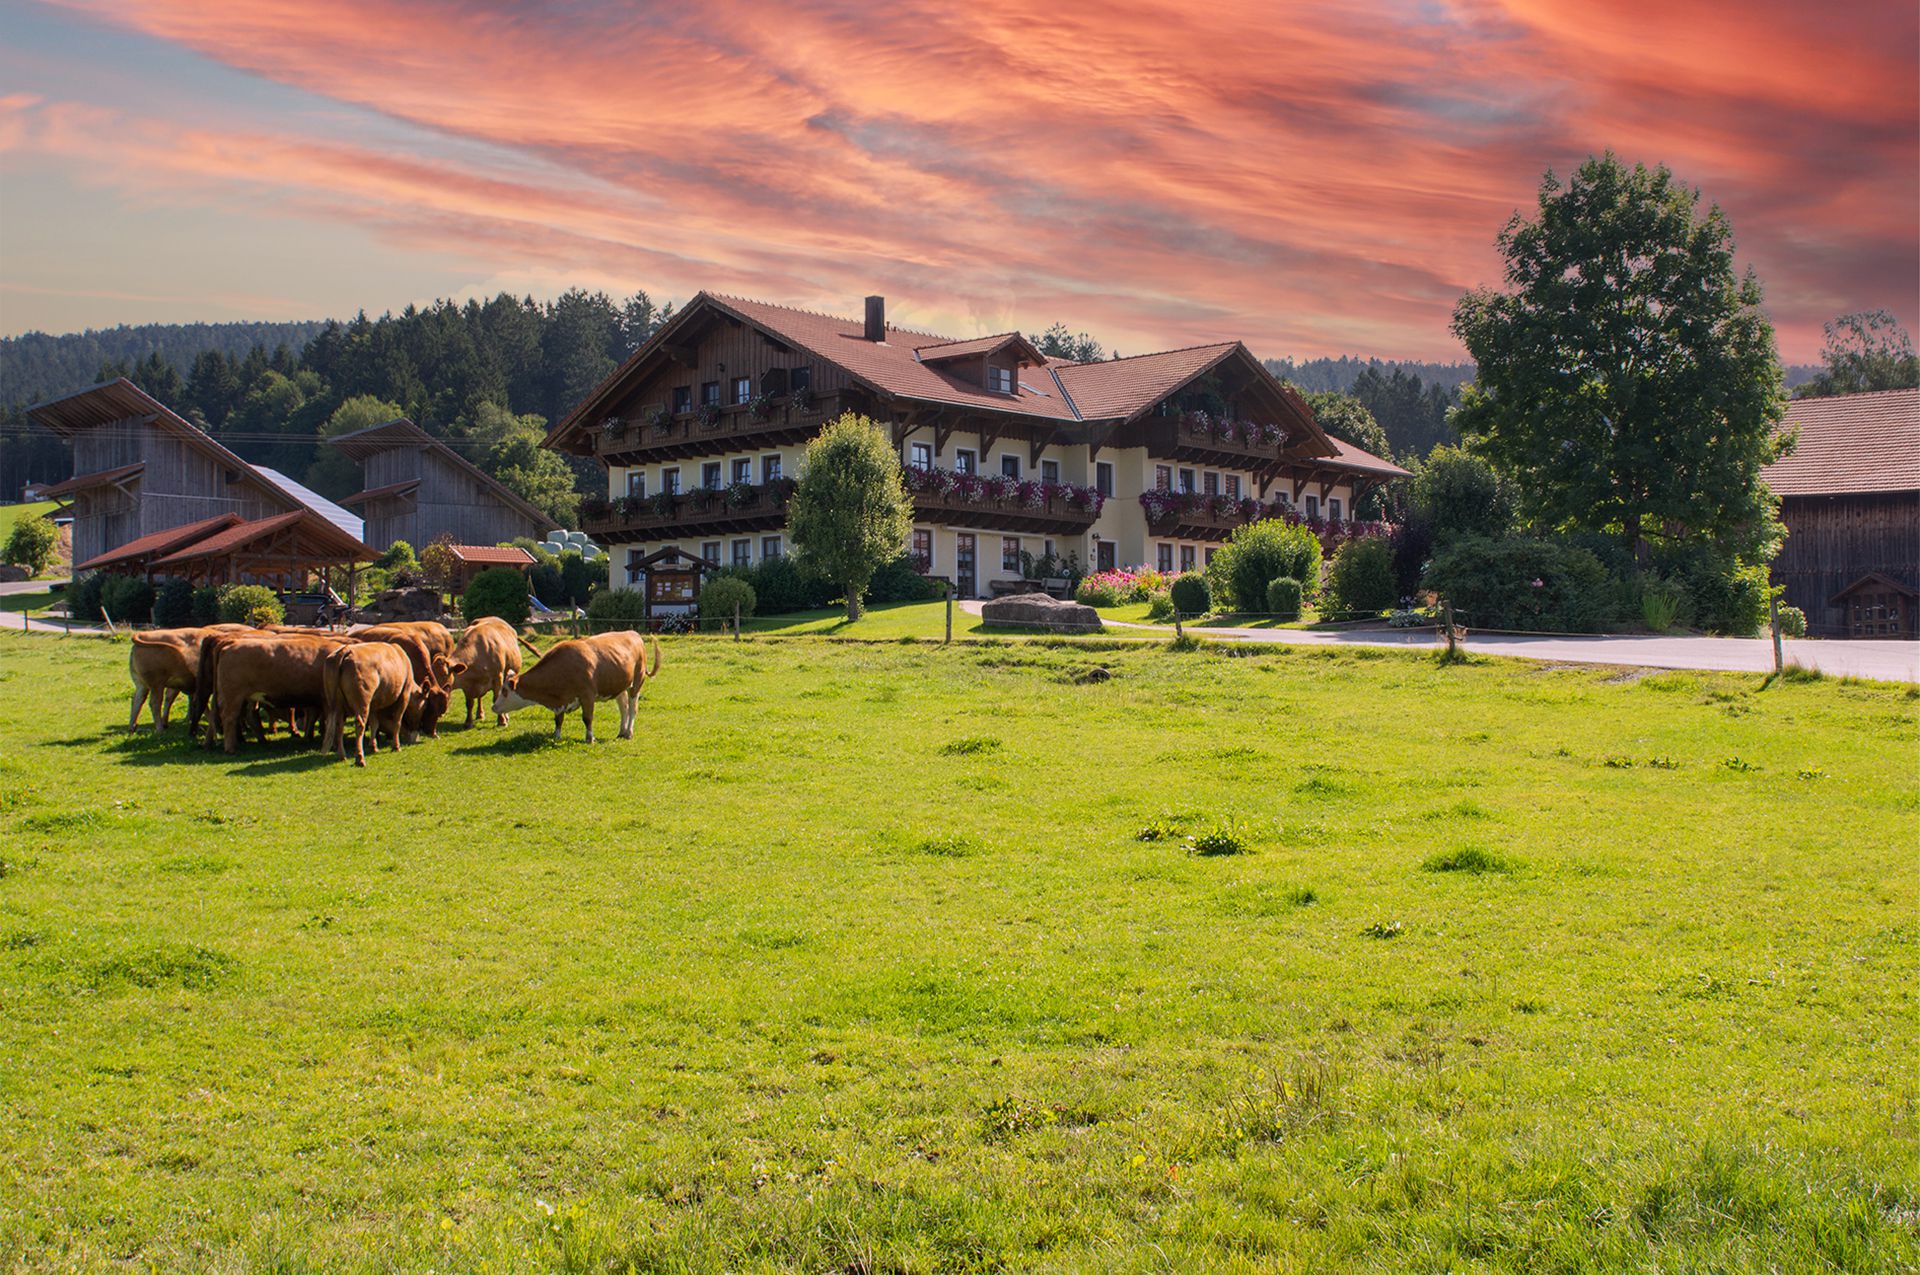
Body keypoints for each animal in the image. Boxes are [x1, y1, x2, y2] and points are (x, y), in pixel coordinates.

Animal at [495, 629, 660, 741]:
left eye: (505, 690)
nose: (493, 707)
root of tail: (633, 634)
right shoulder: (559, 699)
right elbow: (558, 720)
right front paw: (556, 736)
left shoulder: (587, 696)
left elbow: (587, 718)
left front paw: (590, 738)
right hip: (619, 686)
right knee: (623, 708)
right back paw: (622, 731)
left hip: (636, 683)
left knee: (632, 708)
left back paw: (629, 733)